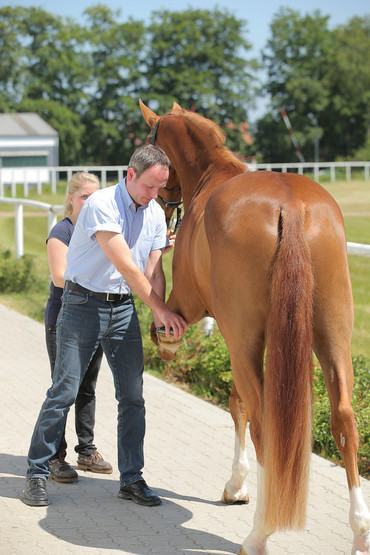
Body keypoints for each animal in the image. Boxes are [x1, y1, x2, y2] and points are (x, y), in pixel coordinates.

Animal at [139, 101, 370, 555]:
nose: (160, 206)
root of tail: (291, 207)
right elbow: (238, 401)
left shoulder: (196, 311)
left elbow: (235, 401)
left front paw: (237, 485)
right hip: (332, 337)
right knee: (344, 421)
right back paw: (359, 531)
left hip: (246, 340)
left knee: (264, 421)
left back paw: (259, 533)